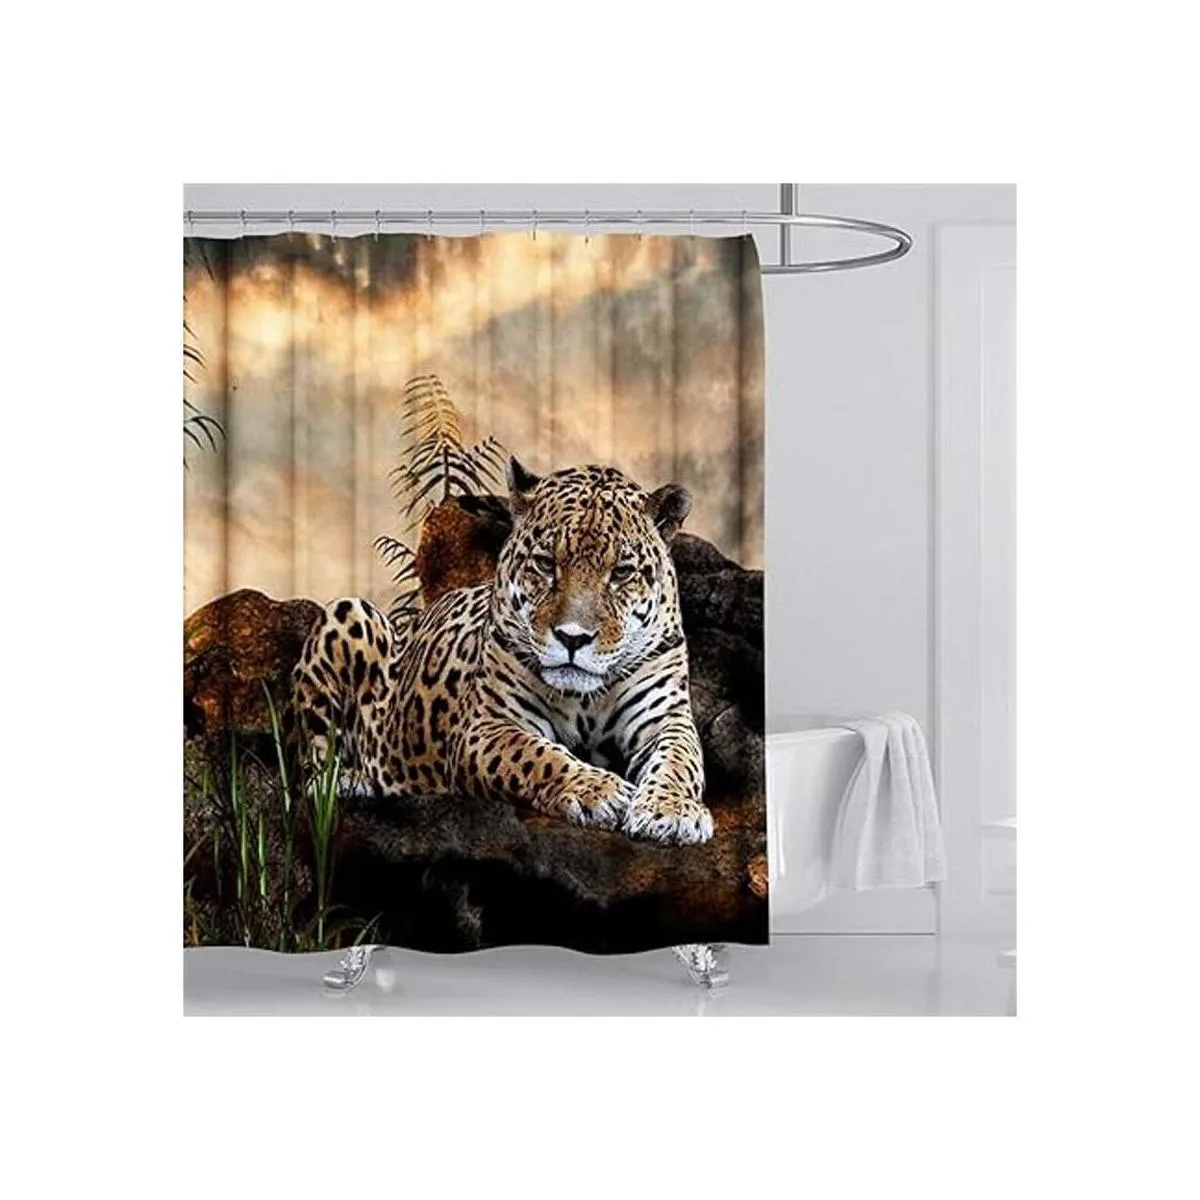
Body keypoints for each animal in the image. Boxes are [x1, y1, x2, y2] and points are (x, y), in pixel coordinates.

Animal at [291, 458, 713, 845]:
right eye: (545, 563)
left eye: (621, 573)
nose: (572, 638)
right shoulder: (488, 727)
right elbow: (537, 756)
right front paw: (600, 791)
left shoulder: (665, 719)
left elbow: (680, 761)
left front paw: (672, 811)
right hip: (348, 612)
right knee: (312, 768)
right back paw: (351, 781)